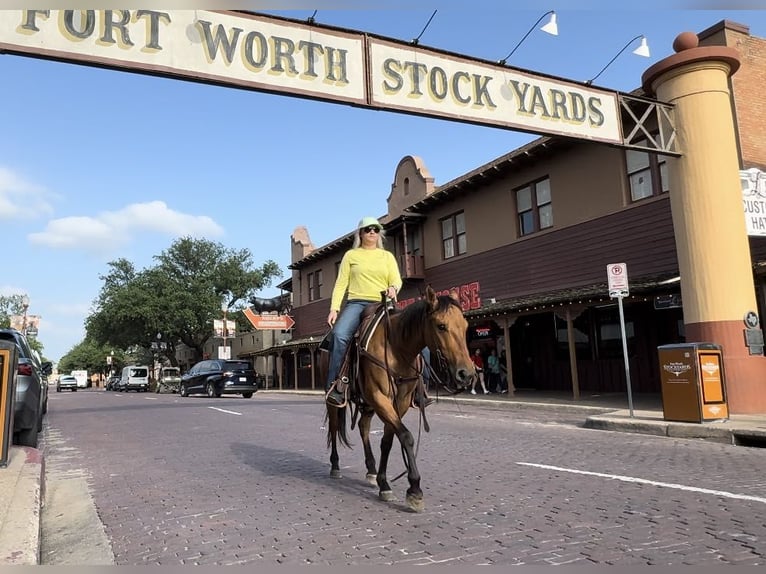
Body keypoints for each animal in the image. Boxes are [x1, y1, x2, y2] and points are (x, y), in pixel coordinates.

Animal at [322, 286, 474, 512]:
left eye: (465, 326)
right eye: (441, 326)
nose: (467, 374)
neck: (397, 348)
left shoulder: (399, 403)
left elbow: (388, 440)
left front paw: (384, 483)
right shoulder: (379, 396)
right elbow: (406, 436)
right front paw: (415, 490)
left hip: (368, 404)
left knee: (363, 426)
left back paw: (371, 470)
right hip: (336, 399)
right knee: (333, 426)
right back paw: (335, 466)